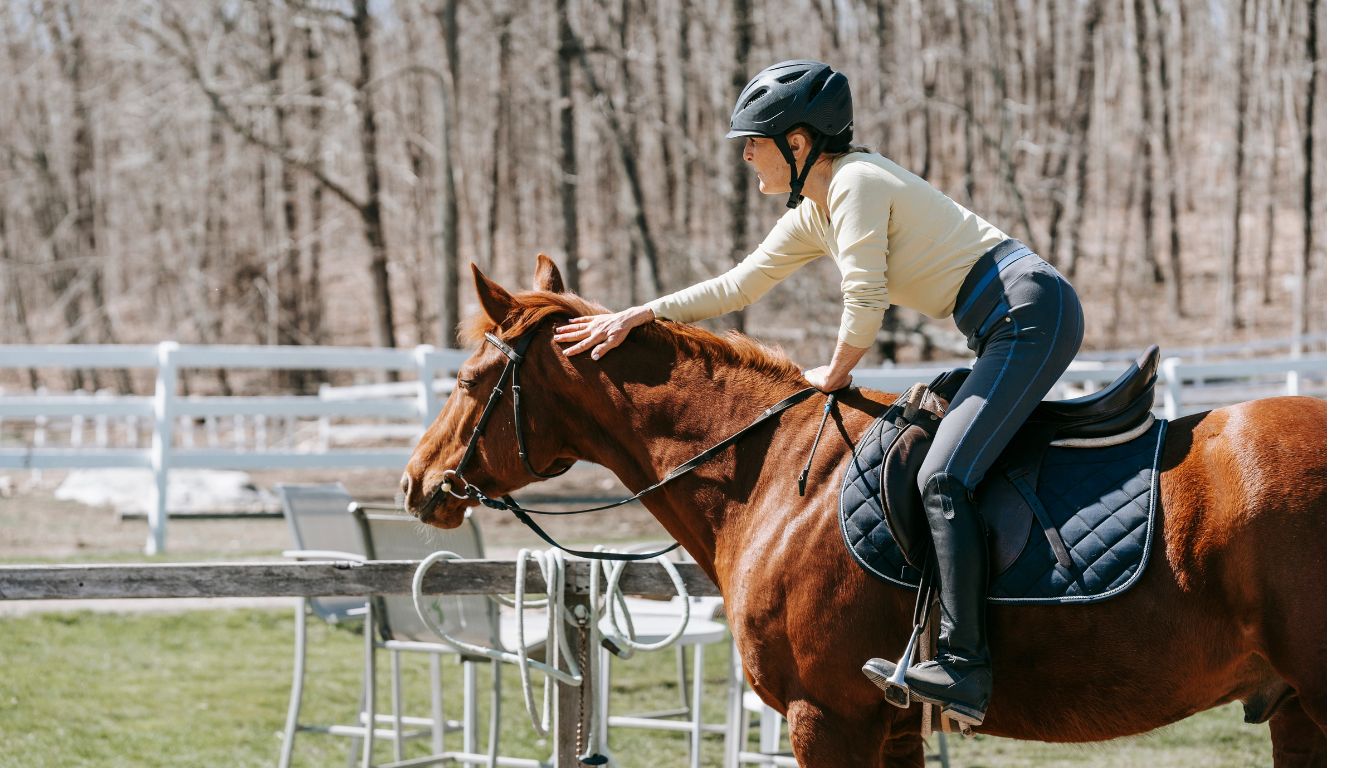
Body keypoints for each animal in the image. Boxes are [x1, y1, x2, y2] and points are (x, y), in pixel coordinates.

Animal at [401, 258, 1322, 765]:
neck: (774, 475)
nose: (415, 483)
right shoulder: (892, 726)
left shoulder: (827, 718)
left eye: (470, 381)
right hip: (1297, 709)